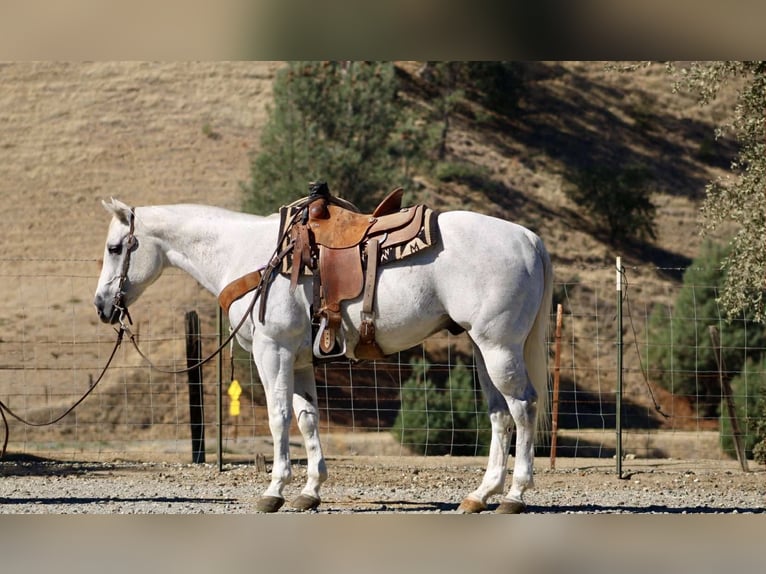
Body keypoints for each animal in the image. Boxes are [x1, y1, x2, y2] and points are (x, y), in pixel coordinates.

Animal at [93, 197, 553, 513]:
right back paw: (480, 495)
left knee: (523, 407)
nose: (101, 306)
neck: (248, 255)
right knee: (499, 415)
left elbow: (279, 418)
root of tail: (528, 238)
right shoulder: (297, 360)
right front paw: (310, 491)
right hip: (482, 349)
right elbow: (306, 418)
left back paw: (514, 495)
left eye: (116, 248)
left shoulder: (273, 351)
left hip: (498, 347)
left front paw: (275, 490)